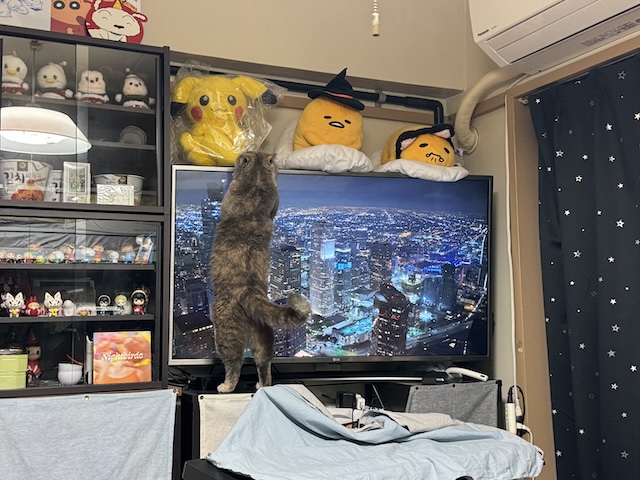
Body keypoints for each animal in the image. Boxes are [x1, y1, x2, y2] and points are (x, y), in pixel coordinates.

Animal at [210, 151, 310, 393]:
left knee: (234, 363)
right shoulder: (275, 199)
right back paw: (261, 386)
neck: (256, 182)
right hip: (264, 337)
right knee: (265, 366)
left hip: (224, 333)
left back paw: (225, 386)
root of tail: (250, 293)